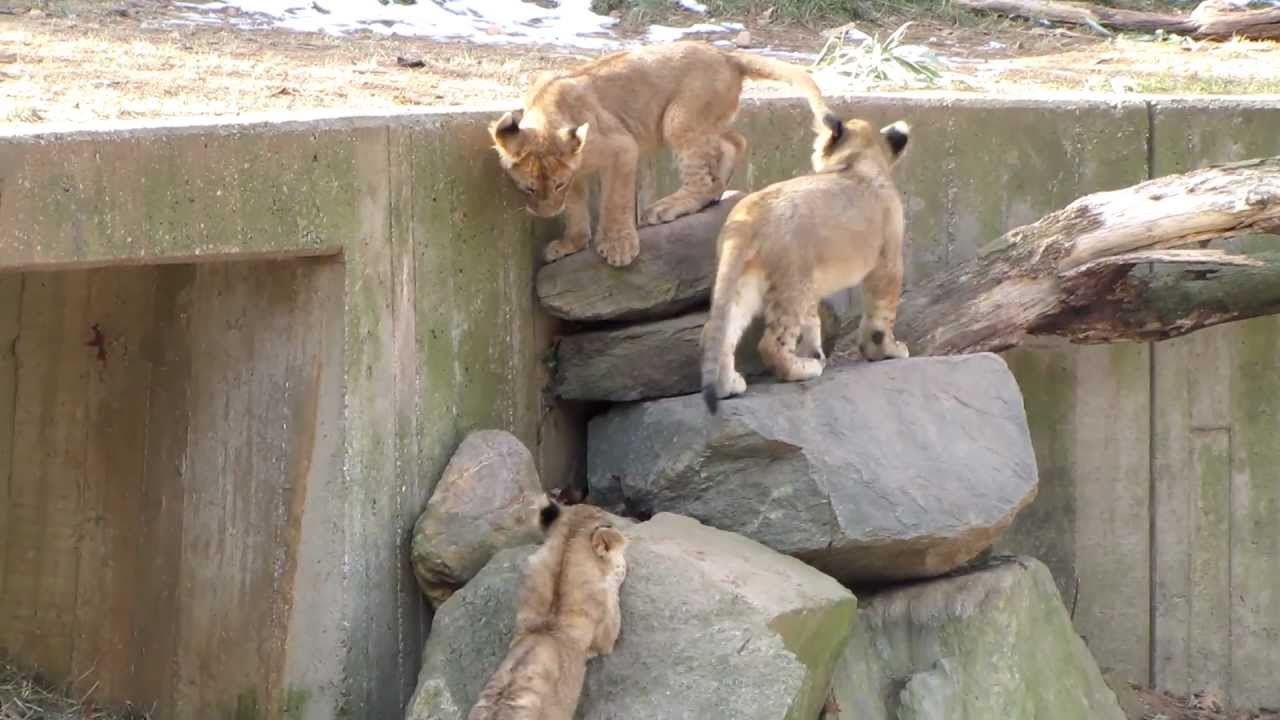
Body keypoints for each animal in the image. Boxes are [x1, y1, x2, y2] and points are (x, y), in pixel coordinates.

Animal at [489, 41, 832, 267]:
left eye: (557, 184)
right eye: (529, 188)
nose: (547, 214)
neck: (547, 115)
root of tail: (726, 55)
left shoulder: (622, 147)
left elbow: (615, 201)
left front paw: (618, 246)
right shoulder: (576, 168)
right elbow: (575, 208)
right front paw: (571, 243)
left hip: (678, 119)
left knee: (702, 173)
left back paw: (668, 207)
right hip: (706, 121)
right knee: (735, 141)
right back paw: (716, 191)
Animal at [700, 114, 913, 413]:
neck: (858, 159)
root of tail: (746, 216)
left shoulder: (812, 281)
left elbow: (812, 319)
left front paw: (816, 352)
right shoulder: (888, 259)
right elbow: (882, 313)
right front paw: (887, 351)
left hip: (744, 280)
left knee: (717, 332)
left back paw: (727, 385)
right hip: (791, 279)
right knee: (771, 344)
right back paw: (803, 369)